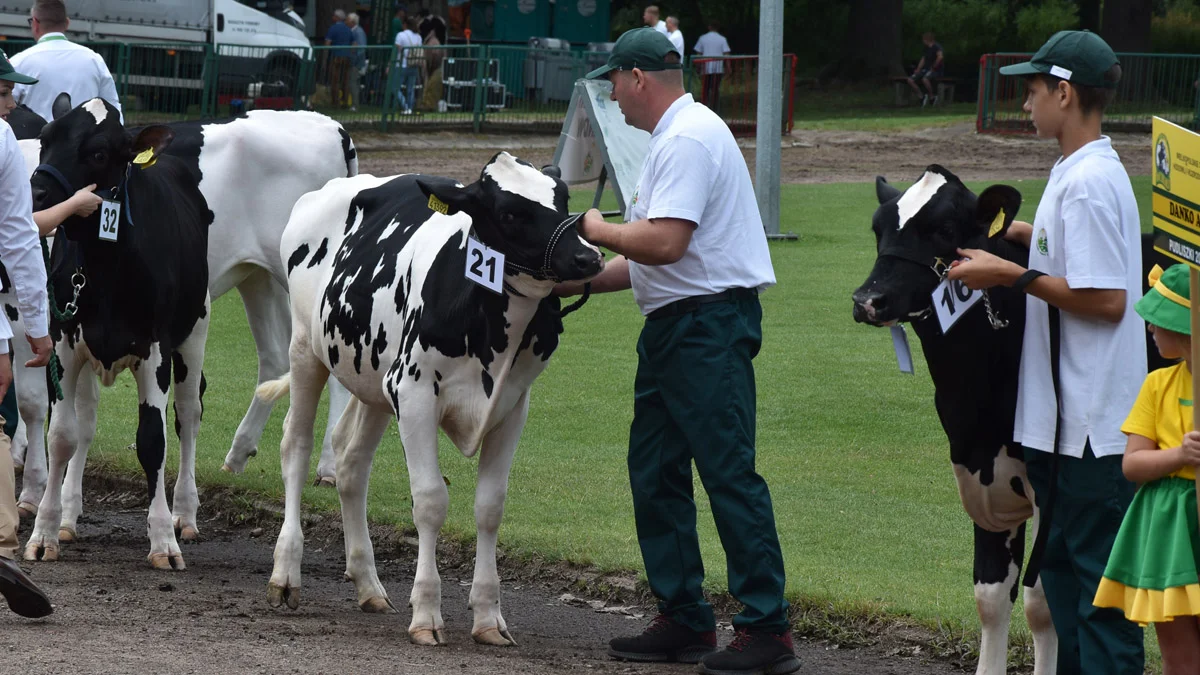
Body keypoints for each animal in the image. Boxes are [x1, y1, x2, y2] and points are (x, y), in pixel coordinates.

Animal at [4, 106, 352, 526]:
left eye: (99, 153)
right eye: (45, 140)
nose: (36, 197)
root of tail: (325, 122)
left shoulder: (28, 306)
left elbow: (32, 401)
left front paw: (32, 491)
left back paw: (328, 466)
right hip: (257, 277)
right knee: (274, 356)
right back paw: (238, 453)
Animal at [22, 96, 213, 566]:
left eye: (98, 153)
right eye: (45, 139)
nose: (35, 194)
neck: (106, 265)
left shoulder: (156, 349)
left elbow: (153, 440)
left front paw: (163, 540)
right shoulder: (64, 343)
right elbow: (62, 436)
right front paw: (45, 532)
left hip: (195, 331)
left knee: (188, 415)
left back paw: (185, 514)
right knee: (86, 422)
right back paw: (70, 515)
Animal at [258, 151, 604, 638]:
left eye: (563, 198)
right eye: (510, 213)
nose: (588, 256)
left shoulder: (512, 405)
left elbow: (490, 506)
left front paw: (488, 617)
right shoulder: (415, 391)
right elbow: (429, 501)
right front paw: (426, 612)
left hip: (375, 380)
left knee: (351, 464)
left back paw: (368, 585)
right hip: (306, 347)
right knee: (296, 445)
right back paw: (286, 574)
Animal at [849, 164, 1056, 672]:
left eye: (944, 230)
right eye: (878, 229)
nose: (867, 300)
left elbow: (1043, 603)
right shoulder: (981, 474)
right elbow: (991, 597)